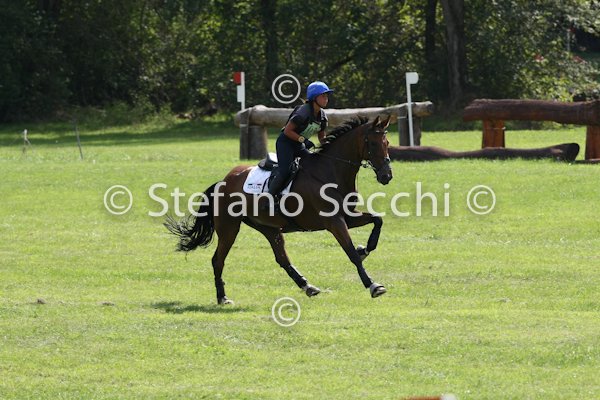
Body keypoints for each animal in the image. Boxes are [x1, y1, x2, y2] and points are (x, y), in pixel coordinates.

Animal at [165, 115, 393, 305]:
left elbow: (377, 220)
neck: (331, 171)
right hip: (230, 228)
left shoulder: (347, 216)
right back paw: (222, 297)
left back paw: (307, 286)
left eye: (387, 143)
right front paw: (373, 285)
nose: (386, 176)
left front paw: (365, 248)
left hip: (268, 228)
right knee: (217, 260)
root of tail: (223, 181)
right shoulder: (334, 222)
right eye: (373, 143)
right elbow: (350, 253)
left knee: (282, 258)